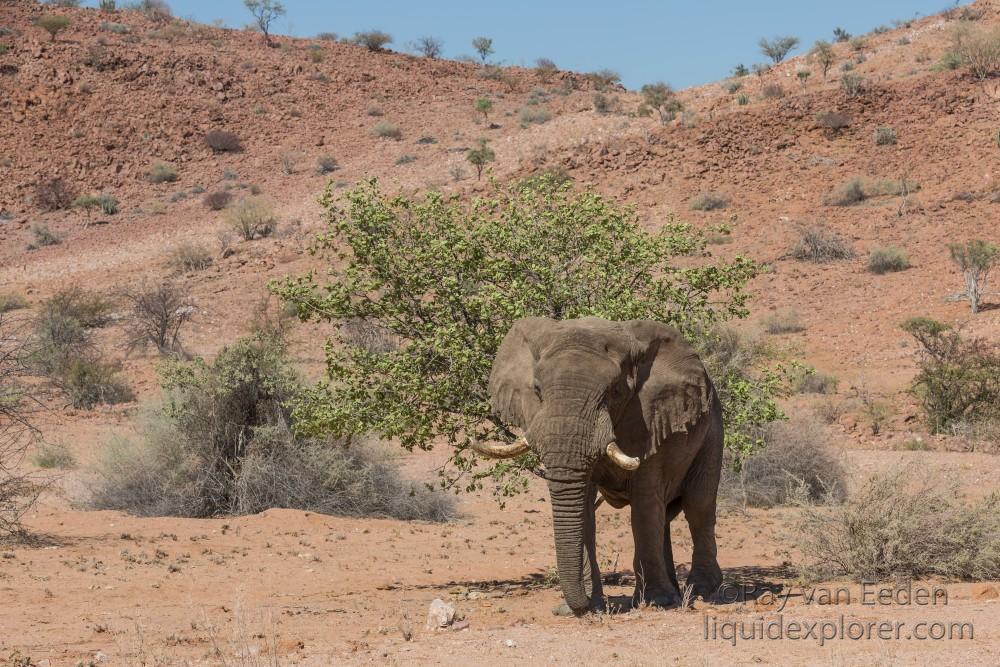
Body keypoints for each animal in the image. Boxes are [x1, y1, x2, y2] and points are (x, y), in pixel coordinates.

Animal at [472, 318, 724, 616]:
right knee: (664, 516)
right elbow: (585, 508)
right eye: (537, 390)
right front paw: (588, 605)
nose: (575, 608)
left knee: (698, 506)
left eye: (615, 392)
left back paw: (699, 590)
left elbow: (644, 506)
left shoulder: (650, 420)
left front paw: (658, 602)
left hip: (713, 432)